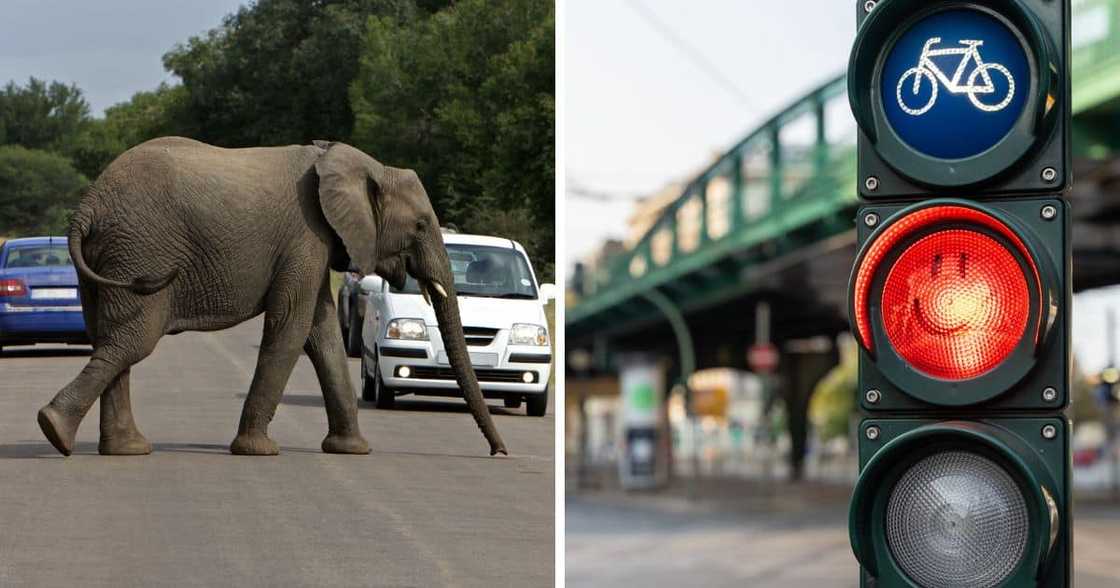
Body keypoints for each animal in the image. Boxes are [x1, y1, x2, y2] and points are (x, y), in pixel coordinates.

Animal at [35, 138, 508, 459]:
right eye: (422, 226)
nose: (498, 452)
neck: (361, 164)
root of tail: (87, 208)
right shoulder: (306, 237)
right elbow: (292, 328)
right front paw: (257, 450)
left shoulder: (317, 244)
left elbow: (322, 335)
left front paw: (352, 449)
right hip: (139, 252)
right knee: (133, 339)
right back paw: (54, 430)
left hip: (109, 258)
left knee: (110, 339)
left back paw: (117, 446)